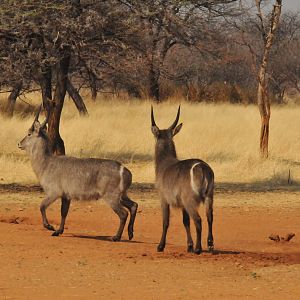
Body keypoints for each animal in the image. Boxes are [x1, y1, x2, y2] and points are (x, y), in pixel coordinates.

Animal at [151, 106, 214, 254]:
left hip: (190, 200)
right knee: (209, 217)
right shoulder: (182, 204)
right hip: (209, 196)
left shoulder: (163, 199)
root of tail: (201, 167)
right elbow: (185, 221)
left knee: (198, 219)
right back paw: (209, 245)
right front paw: (189, 246)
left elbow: (165, 222)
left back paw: (198, 248)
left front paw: (160, 246)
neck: (164, 163)